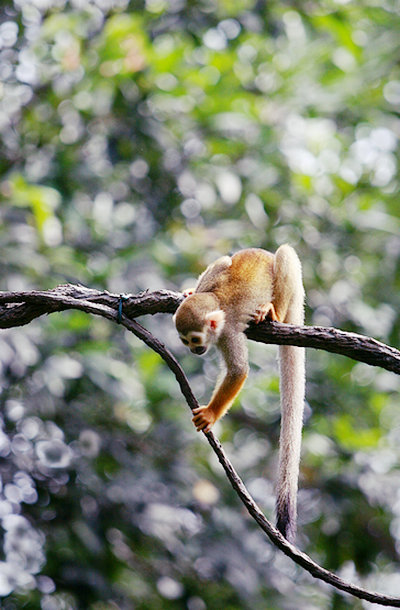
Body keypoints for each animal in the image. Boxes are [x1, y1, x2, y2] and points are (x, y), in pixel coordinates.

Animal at [173, 245, 304, 540]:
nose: (194, 350)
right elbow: (217, 266)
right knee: (225, 259)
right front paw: (189, 291)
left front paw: (210, 415)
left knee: (285, 253)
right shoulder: (210, 287)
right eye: (185, 341)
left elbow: (238, 371)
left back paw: (273, 312)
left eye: (195, 340)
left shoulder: (229, 333)